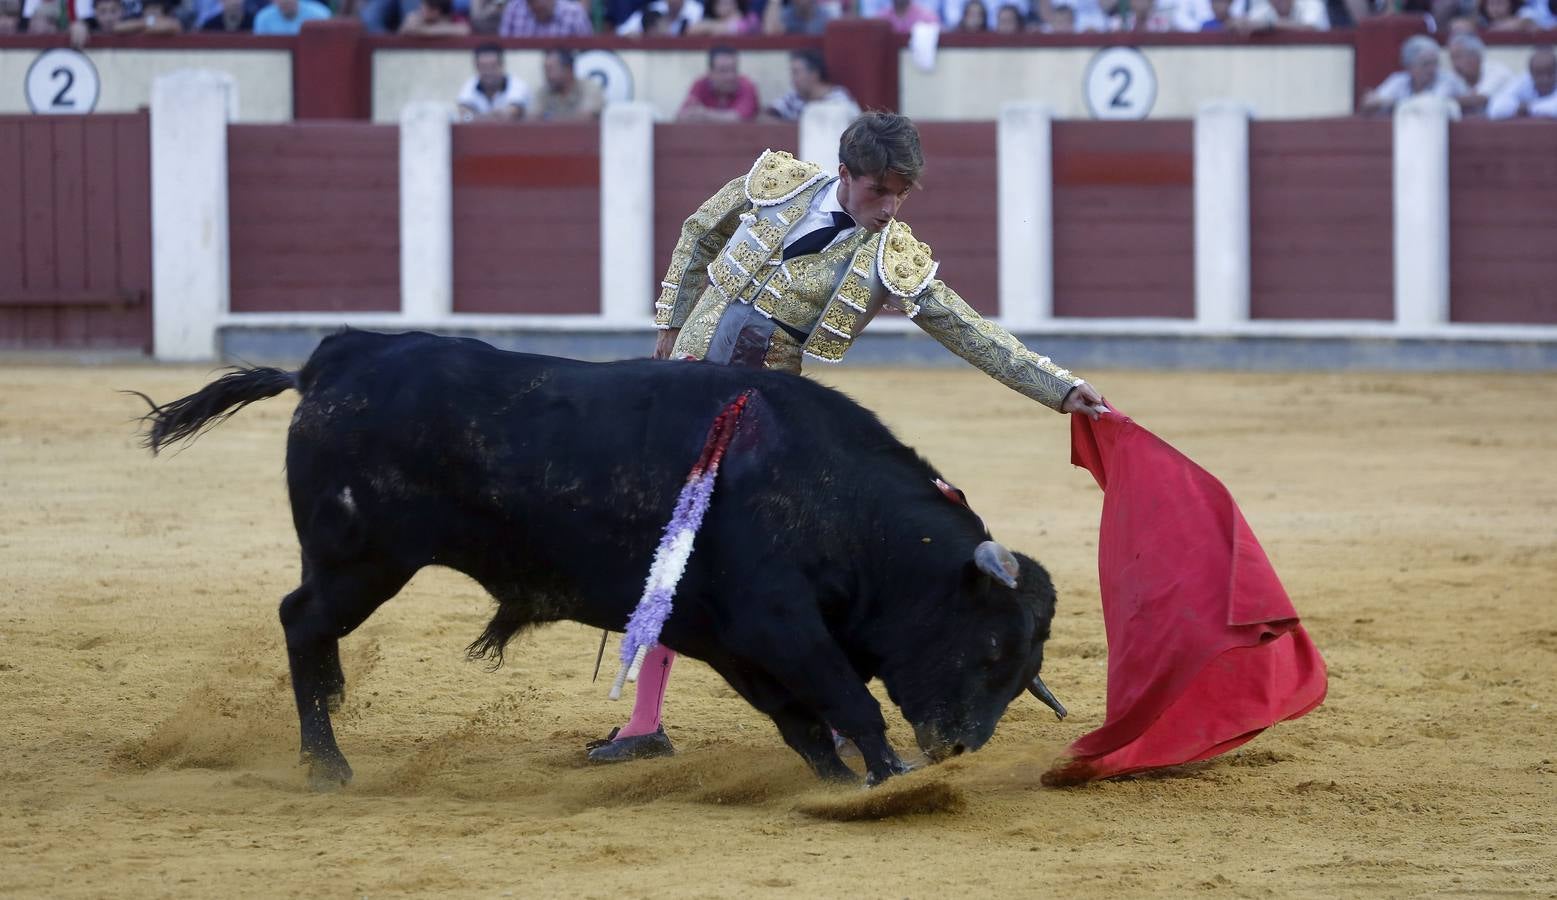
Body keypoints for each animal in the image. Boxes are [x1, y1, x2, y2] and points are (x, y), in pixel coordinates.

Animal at [140, 330, 1064, 784]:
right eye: (990, 648)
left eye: (1022, 670)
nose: (958, 747)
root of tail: (333, 360)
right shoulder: (779, 625)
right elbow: (850, 701)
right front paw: (890, 778)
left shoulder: (735, 639)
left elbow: (802, 720)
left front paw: (841, 783)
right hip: (362, 558)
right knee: (301, 619)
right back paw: (326, 763)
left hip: (359, 562)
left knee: (309, 626)